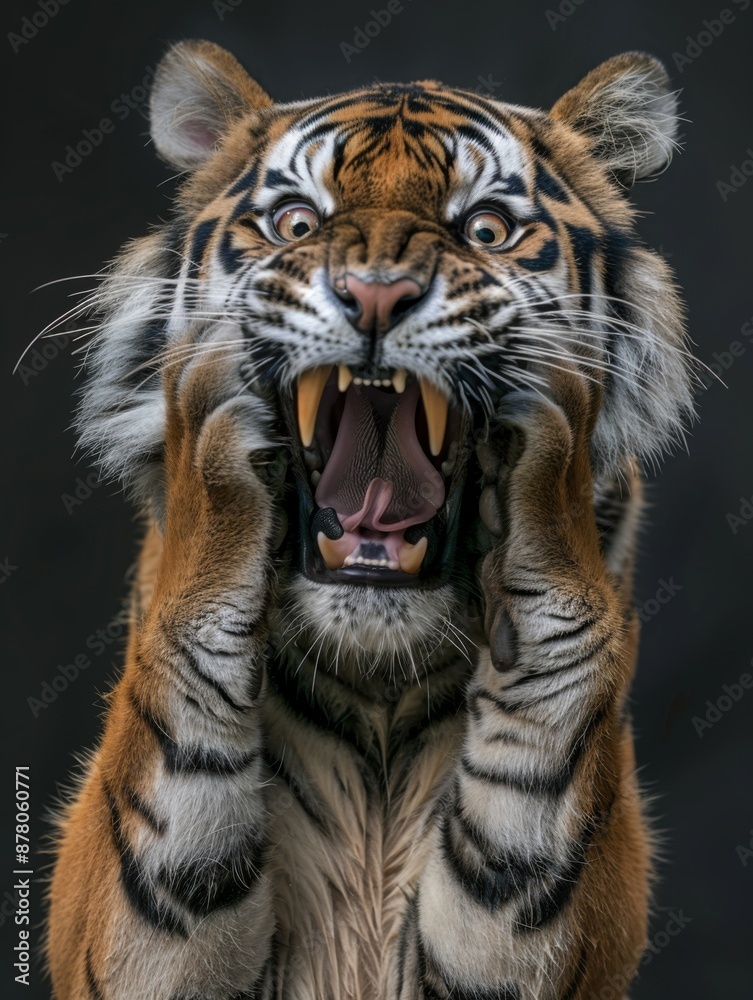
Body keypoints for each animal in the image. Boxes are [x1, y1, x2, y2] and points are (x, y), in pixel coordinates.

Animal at [46, 40, 695, 1000]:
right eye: (294, 224)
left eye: (484, 231)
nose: (376, 294)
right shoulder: (128, 937)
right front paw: (207, 432)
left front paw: (553, 441)